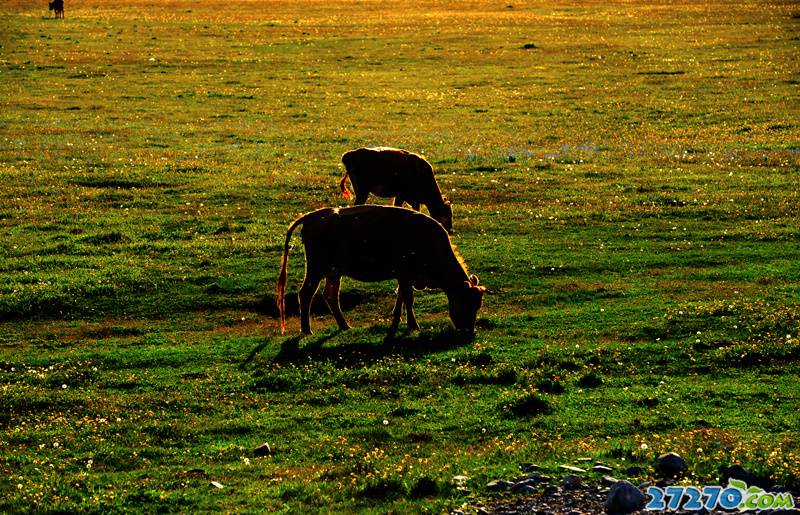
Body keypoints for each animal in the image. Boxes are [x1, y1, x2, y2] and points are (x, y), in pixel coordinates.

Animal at [276, 205, 488, 334]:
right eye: (466, 302)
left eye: (477, 304)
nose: (468, 330)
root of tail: (313, 216)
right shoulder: (404, 274)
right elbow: (408, 298)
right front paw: (413, 325)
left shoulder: (404, 277)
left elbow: (401, 297)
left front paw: (397, 321)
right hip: (316, 270)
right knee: (306, 294)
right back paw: (307, 330)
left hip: (333, 273)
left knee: (330, 296)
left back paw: (345, 326)